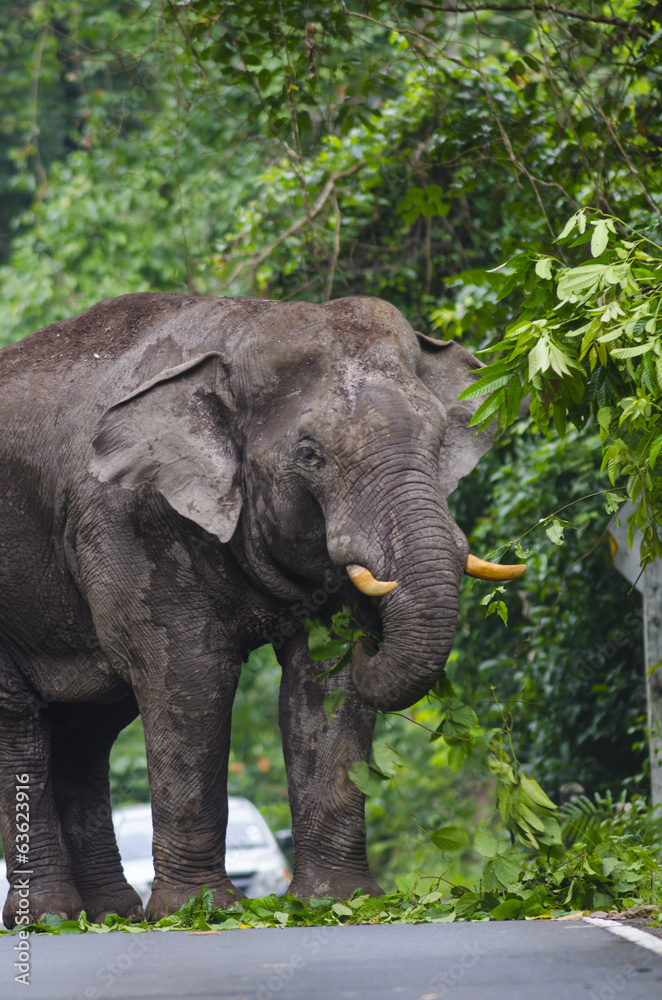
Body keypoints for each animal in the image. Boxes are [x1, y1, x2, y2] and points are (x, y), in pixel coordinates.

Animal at [0, 292, 524, 927]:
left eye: (440, 435)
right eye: (309, 454)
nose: (373, 633)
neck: (238, 332)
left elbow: (325, 682)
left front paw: (335, 901)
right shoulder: (127, 518)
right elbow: (190, 677)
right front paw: (198, 911)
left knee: (88, 729)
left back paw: (108, 916)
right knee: (21, 725)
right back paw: (49, 919)